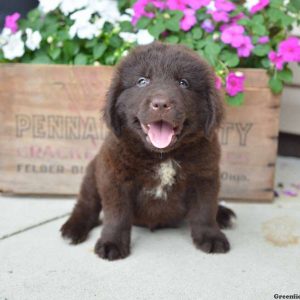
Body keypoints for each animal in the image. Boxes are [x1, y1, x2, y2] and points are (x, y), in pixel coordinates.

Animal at [60, 42, 234, 260]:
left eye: (184, 83)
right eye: (142, 81)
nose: (161, 104)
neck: (162, 156)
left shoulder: (205, 176)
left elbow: (205, 210)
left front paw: (211, 236)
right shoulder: (114, 177)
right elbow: (116, 215)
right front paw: (111, 242)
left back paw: (222, 213)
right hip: (93, 172)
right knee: (87, 204)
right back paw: (73, 228)